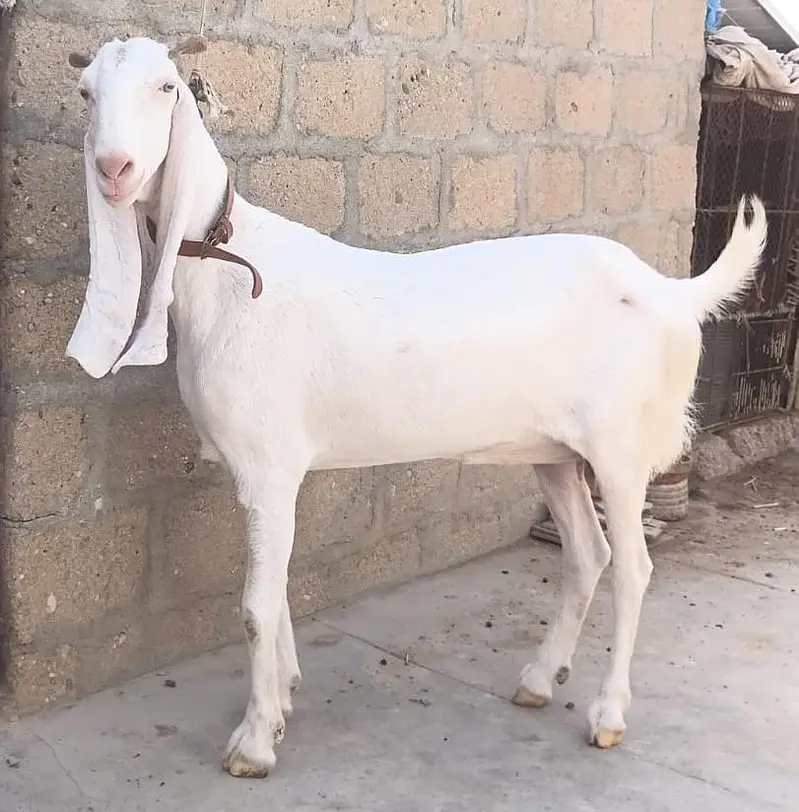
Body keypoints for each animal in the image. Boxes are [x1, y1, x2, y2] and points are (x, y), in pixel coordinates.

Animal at [65, 36, 767, 778]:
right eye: (85, 92)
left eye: (167, 87)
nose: (114, 169)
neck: (231, 268)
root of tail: (669, 291)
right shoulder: (263, 473)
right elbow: (277, 589)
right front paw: (282, 700)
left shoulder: (269, 464)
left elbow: (257, 605)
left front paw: (253, 742)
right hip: (554, 451)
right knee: (587, 554)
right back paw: (538, 680)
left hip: (619, 448)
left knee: (634, 570)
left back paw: (607, 715)